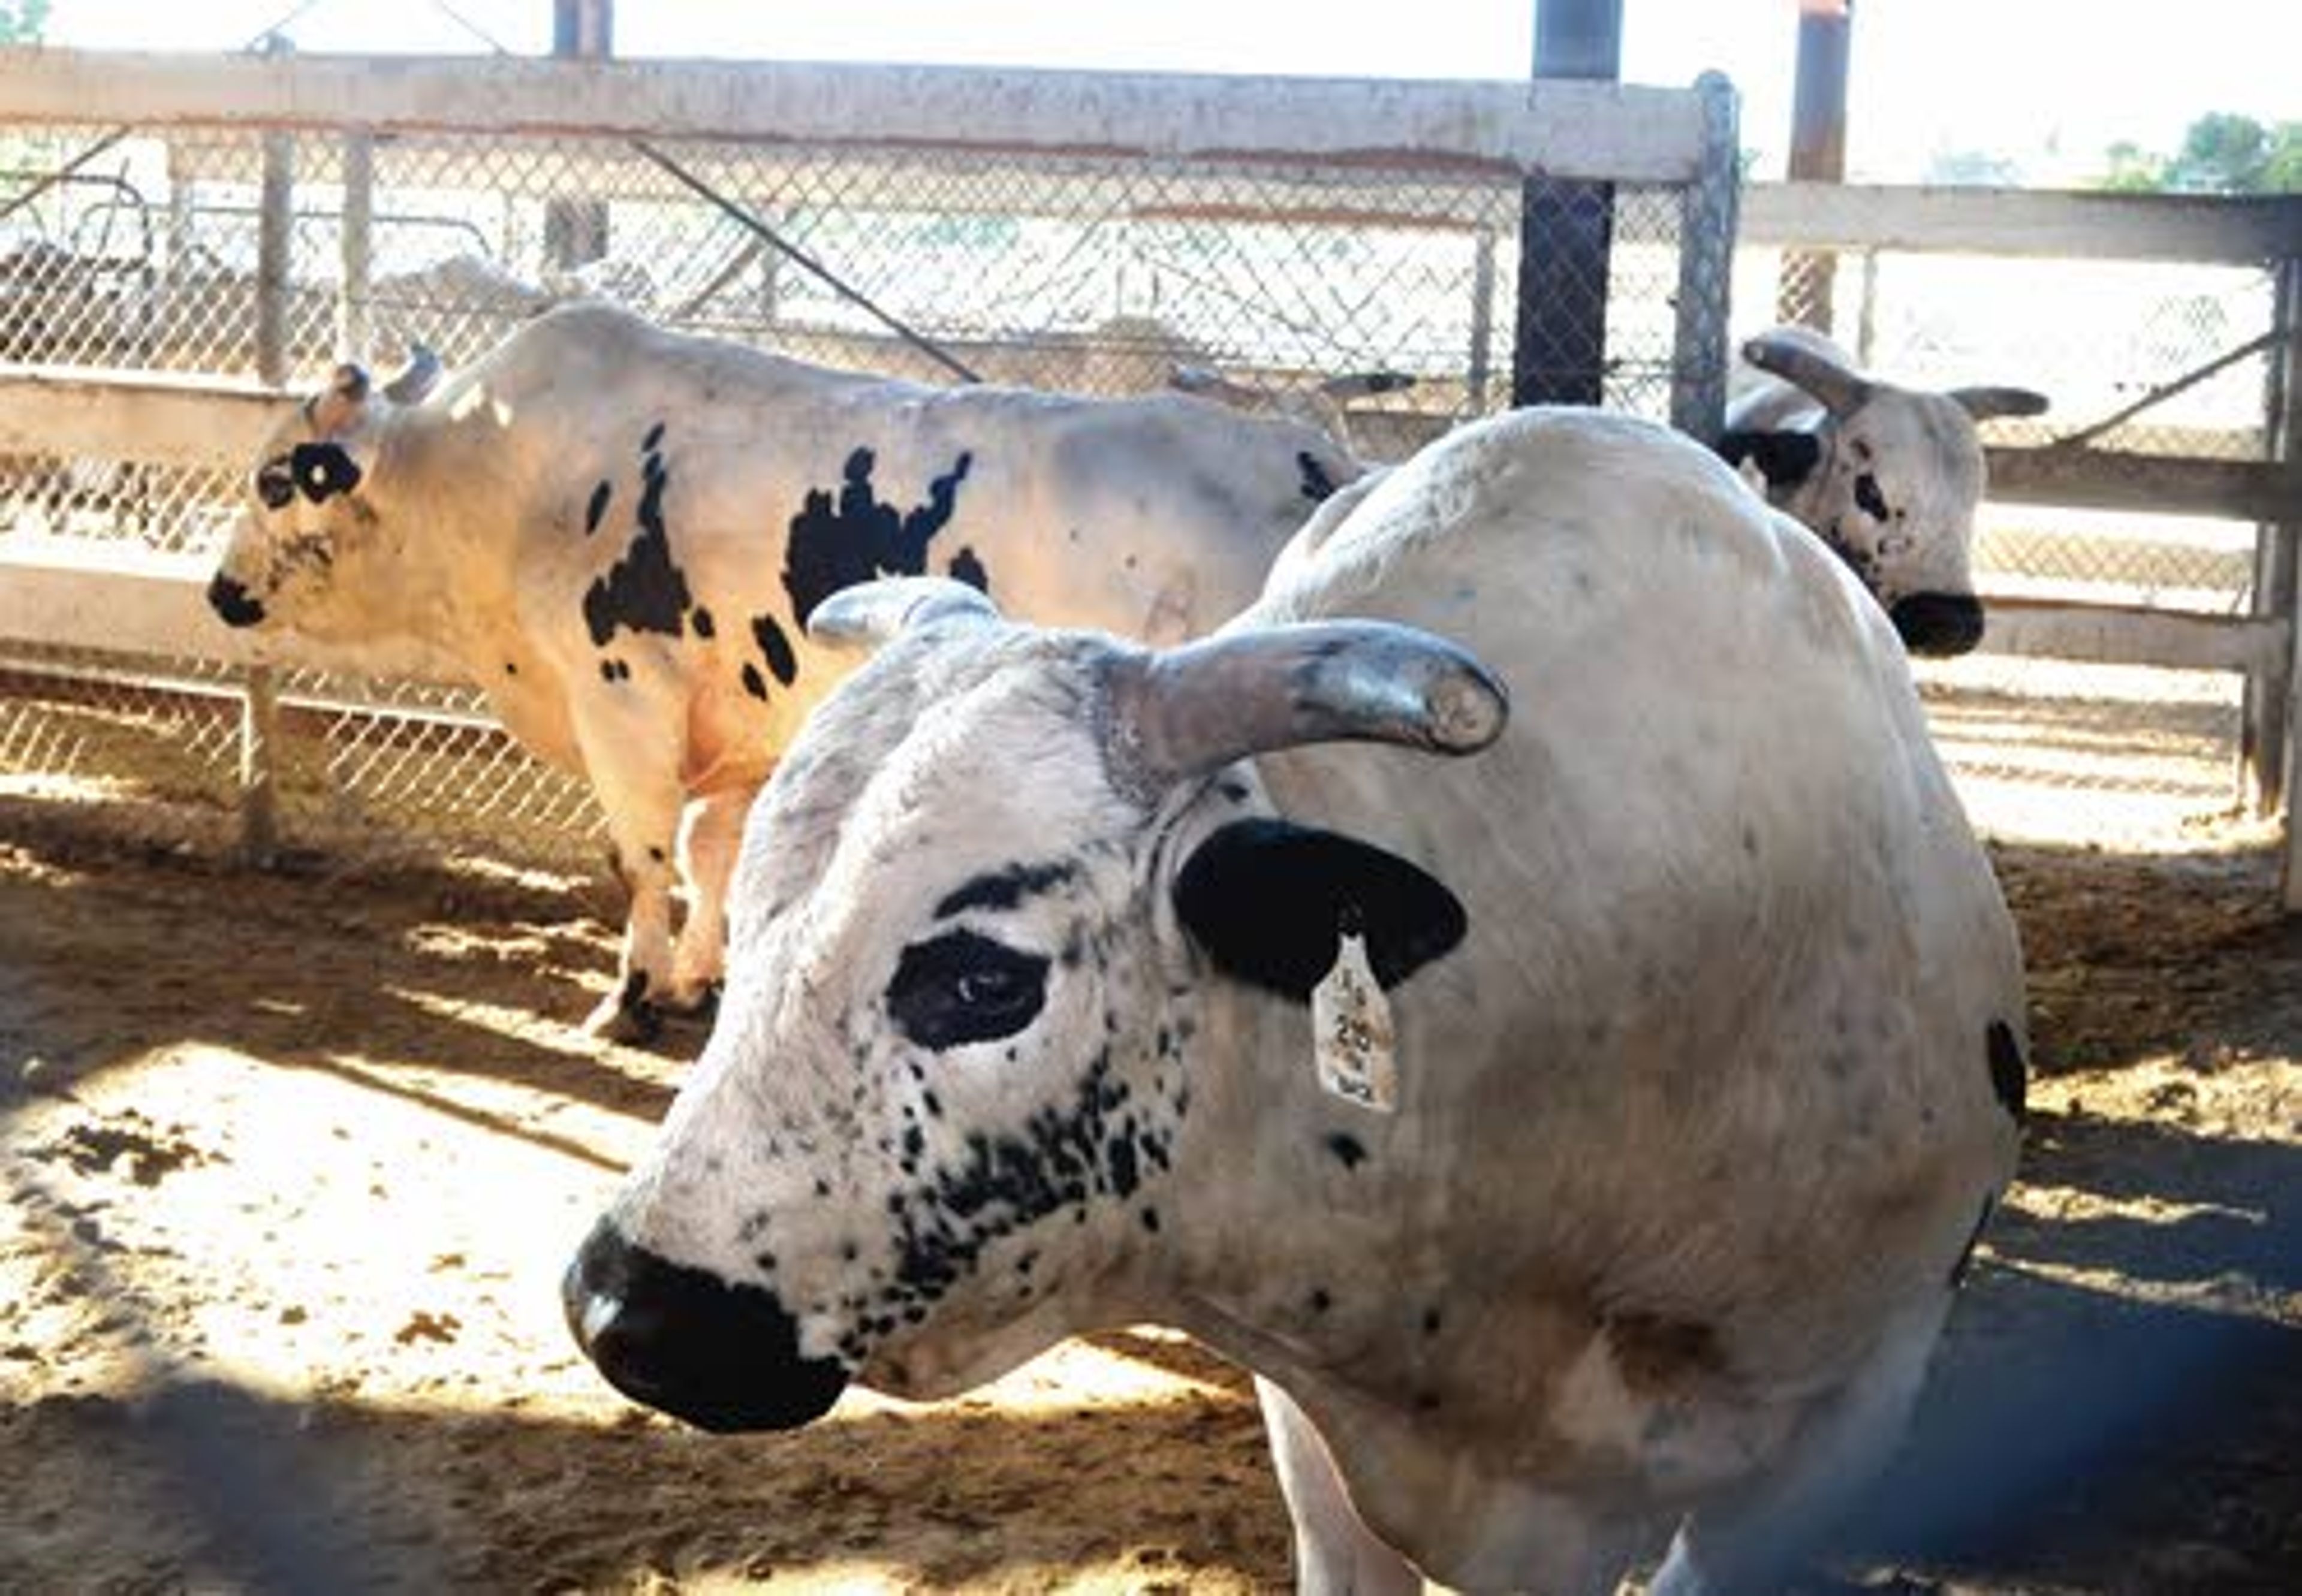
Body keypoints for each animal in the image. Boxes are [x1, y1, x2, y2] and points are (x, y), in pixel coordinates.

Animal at [207, 299, 1353, 1040]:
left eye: (277, 479)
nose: (219, 589)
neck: (492, 480)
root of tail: (1312, 459)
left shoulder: (622, 691)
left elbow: (641, 854)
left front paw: (631, 996)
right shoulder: (745, 714)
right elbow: (714, 850)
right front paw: (700, 980)